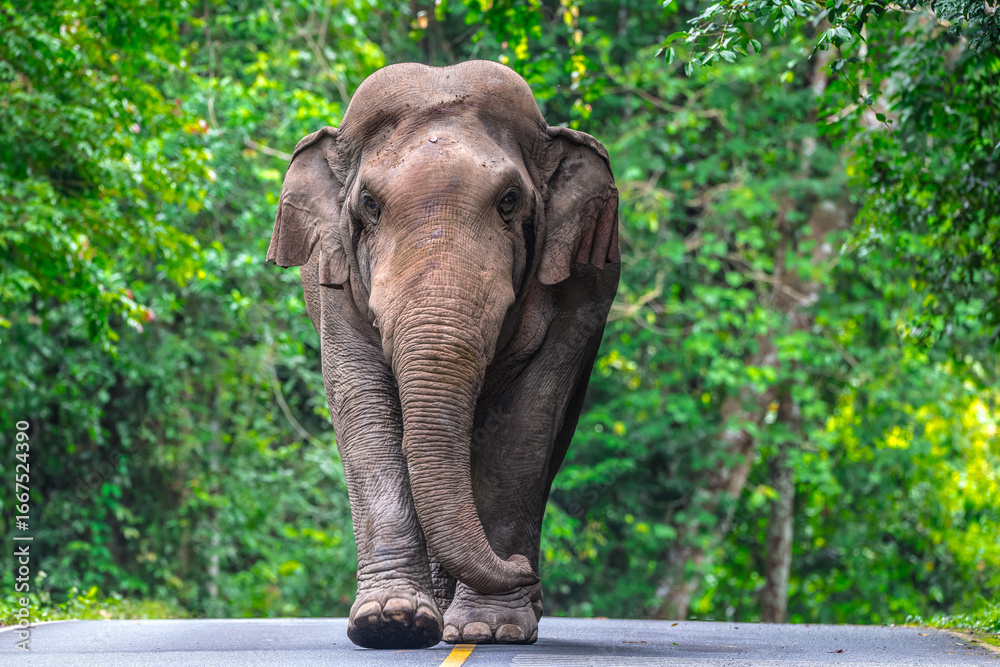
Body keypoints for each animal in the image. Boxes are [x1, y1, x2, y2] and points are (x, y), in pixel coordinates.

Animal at [267, 60, 620, 649]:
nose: (522, 567)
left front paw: (490, 628)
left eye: (509, 201)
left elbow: (527, 419)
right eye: (369, 204)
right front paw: (389, 622)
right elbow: (361, 400)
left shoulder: (580, 288)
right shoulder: (330, 276)